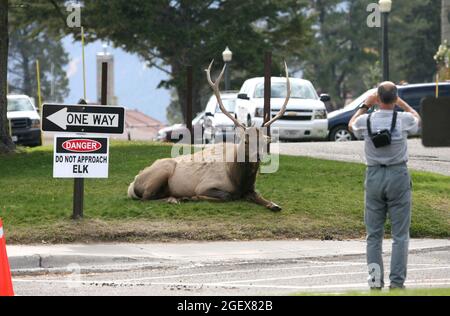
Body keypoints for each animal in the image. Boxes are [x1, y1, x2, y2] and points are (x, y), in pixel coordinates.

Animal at [126, 60, 290, 211]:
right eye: (246, 141)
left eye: (264, 142)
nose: (258, 156)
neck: (238, 179)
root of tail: (132, 183)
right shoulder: (205, 185)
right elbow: (227, 195)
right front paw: (193, 197)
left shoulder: (251, 189)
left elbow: (263, 198)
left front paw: (274, 204)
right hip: (162, 170)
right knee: (146, 197)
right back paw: (176, 199)